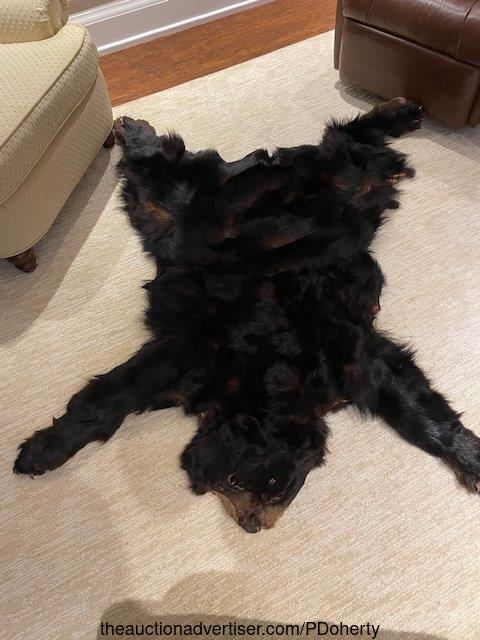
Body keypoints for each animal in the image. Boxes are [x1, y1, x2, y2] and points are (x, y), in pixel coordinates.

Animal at [14, 98, 480, 533]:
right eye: (235, 484)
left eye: (280, 490)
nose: (252, 526)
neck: (272, 377)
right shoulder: (199, 346)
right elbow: (115, 394)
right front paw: (43, 450)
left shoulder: (347, 355)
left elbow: (413, 405)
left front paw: (469, 456)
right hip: (202, 210)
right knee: (167, 173)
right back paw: (140, 132)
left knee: (347, 138)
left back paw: (402, 114)